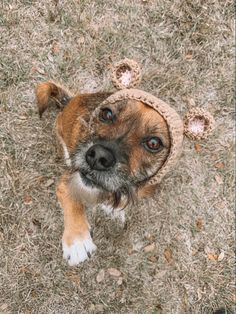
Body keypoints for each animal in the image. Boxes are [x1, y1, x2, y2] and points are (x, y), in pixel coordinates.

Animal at [35, 81, 172, 264]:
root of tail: (68, 100)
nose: (98, 156)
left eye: (153, 143)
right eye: (106, 114)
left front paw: (113, 208)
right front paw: (77, 240)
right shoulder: (67, 182)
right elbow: (73, 201)